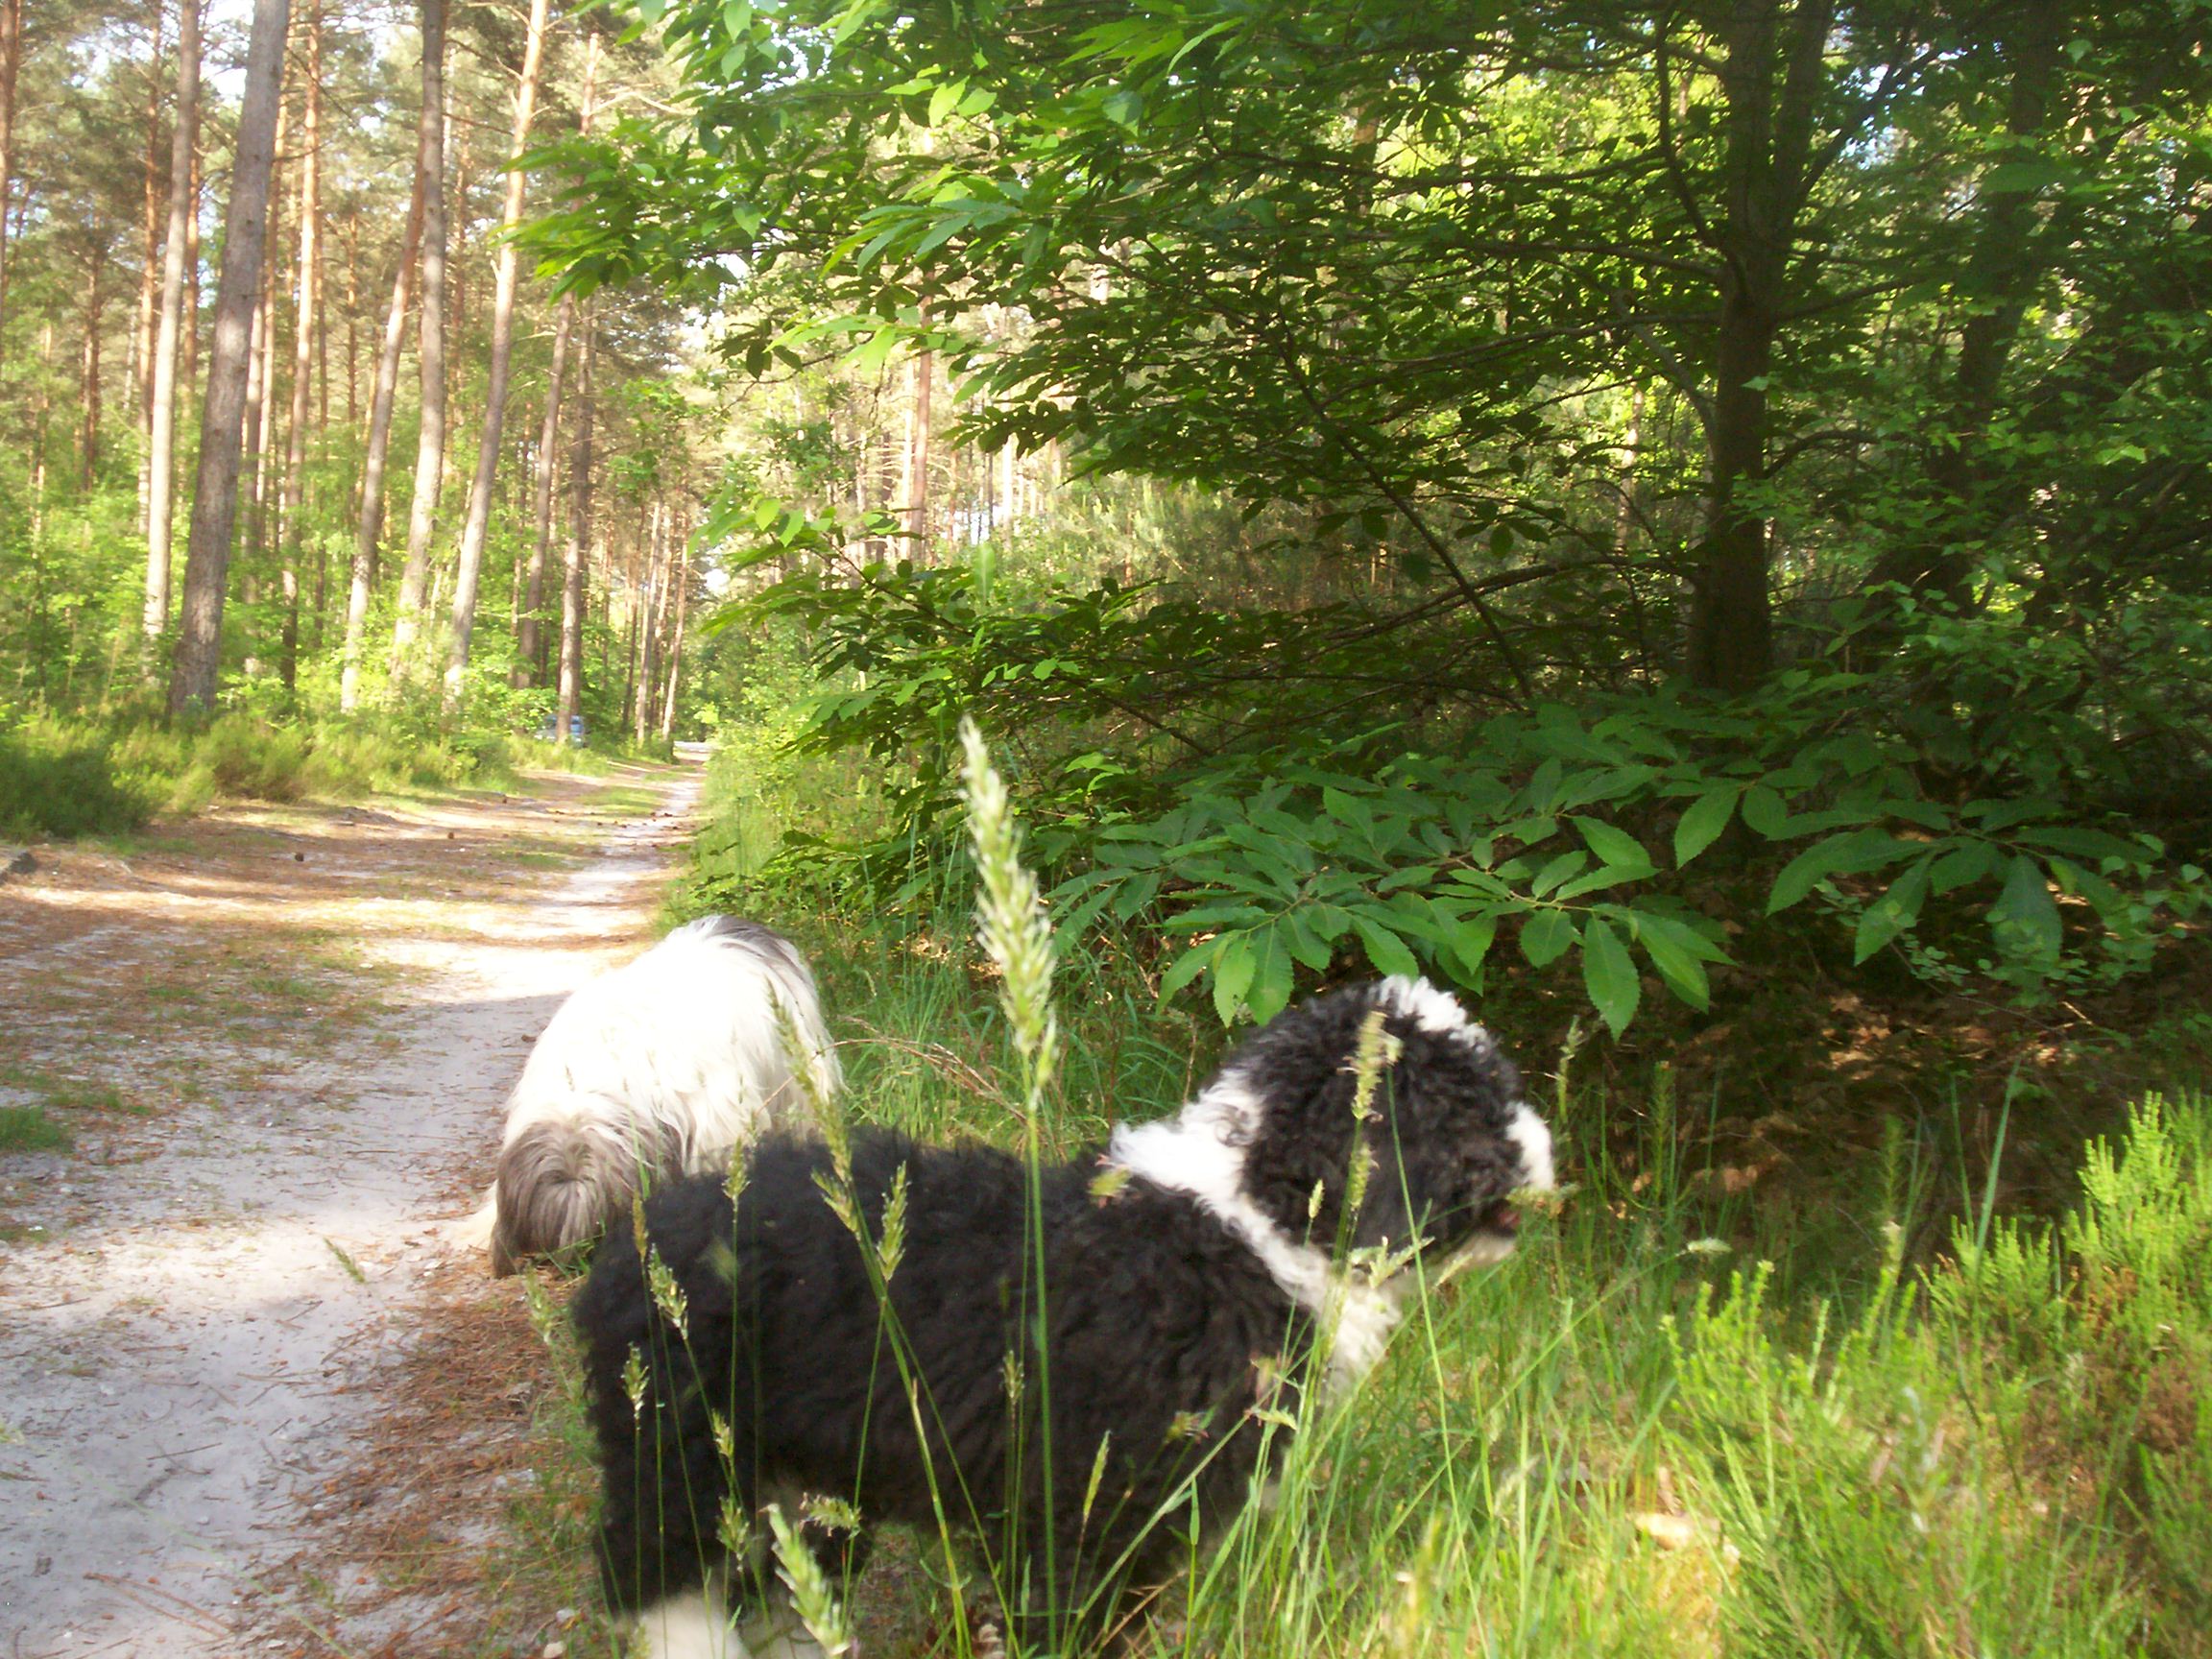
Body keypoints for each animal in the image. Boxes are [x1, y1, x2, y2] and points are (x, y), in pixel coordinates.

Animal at [575, 981, 1557, 1654]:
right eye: (1476, 1105)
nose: (1550, 1151)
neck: (1252, 1222)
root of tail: (649, 1220)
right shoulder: (1081, 1513)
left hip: (804, 1474)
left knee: (778, 1580)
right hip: (681, 1449)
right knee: (658, 1580)